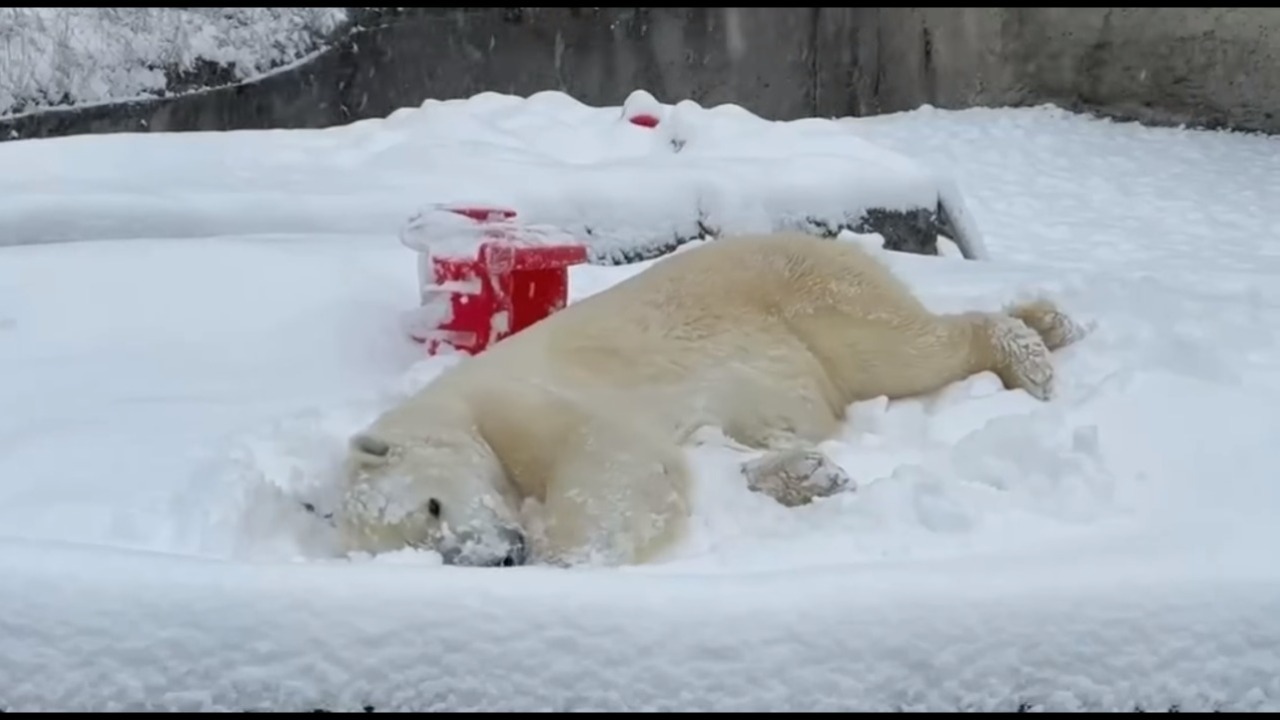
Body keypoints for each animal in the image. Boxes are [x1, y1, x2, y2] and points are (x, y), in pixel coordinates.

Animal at [335, 231, 1084, 568]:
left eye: (432, 505)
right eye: (424, 547)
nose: (498, 557)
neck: (453, 404)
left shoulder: (516, 399)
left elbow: (610, 460)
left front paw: (565, 559)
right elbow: (703, 455)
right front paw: (808, 473)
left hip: (804, 296)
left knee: (900, 349)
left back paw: (1029, 353)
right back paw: (1047, 321)